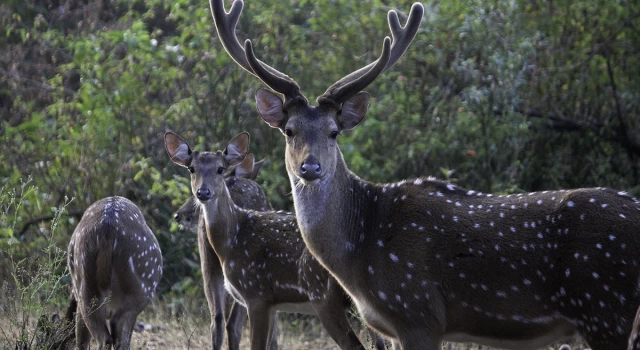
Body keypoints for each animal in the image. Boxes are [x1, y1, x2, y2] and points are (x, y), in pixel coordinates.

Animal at [210, 0, 640, 350]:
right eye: (289, 130)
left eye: (334, 132)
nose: (310, 167)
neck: (361, 251)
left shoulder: (417, 311)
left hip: (605, 307)